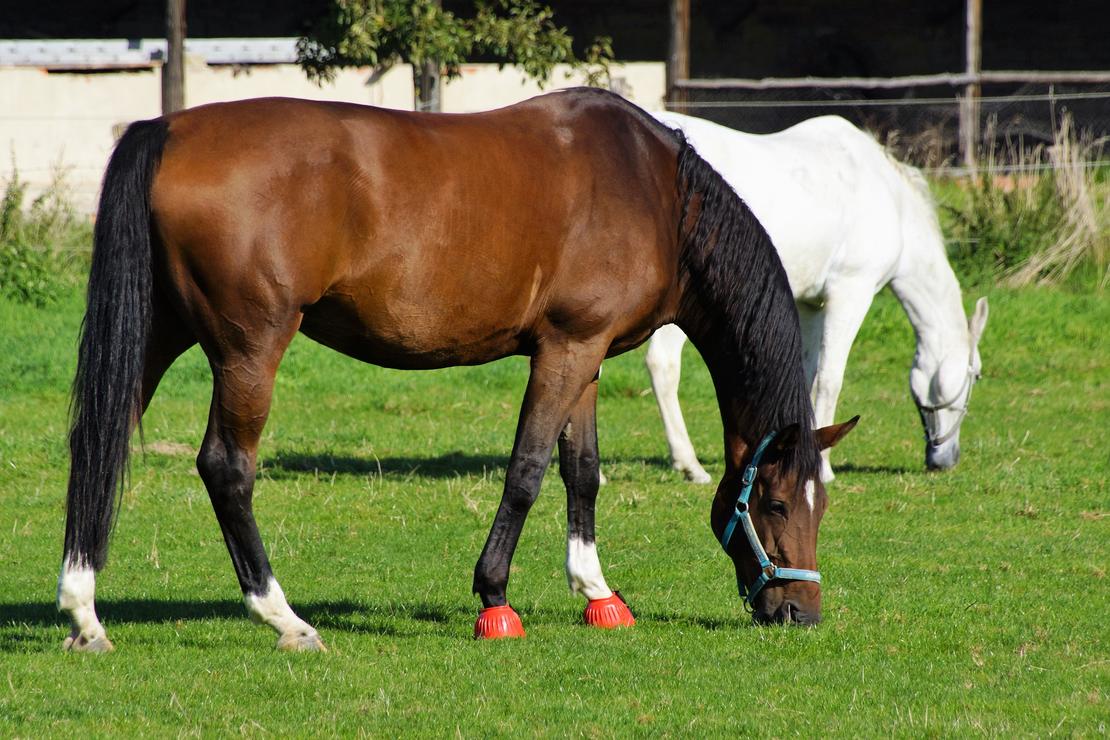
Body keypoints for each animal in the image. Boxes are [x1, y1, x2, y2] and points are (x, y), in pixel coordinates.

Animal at [58, 90, 858, 652]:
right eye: (776, 505)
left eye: (820, 504)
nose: (800, 613)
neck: (656, 192)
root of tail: (167, 130)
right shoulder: (565, 349)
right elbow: (528, 470)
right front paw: (495, 600)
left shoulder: (587, 358)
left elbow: (583, 471)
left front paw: (598, 594)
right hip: (250, 348)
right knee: (227, 467)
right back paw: (284, 618)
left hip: (157, 332)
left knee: (100, 442)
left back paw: (85, 612)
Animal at [646, 112, 988, 484]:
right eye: (977, 376)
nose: (945, 460)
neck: (890, 200)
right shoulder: (850, 293)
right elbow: (829, 378)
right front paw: (822, 467)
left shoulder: (809, 304)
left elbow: (807, 373)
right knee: (662, 365)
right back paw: (689, 464)